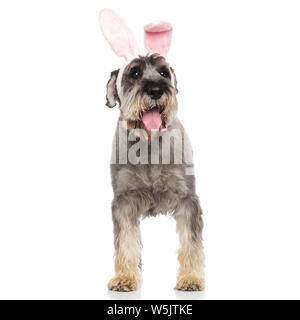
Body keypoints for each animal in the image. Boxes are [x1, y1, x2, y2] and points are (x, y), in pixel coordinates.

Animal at [99, 9, 205, 292]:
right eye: (134, 73)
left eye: (164, 73)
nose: (156, 90)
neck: (148, 143)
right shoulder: (124, 202)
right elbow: (126, 242)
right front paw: (125, 277)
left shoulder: (187, 200)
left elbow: (191, 244)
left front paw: (191, 278)